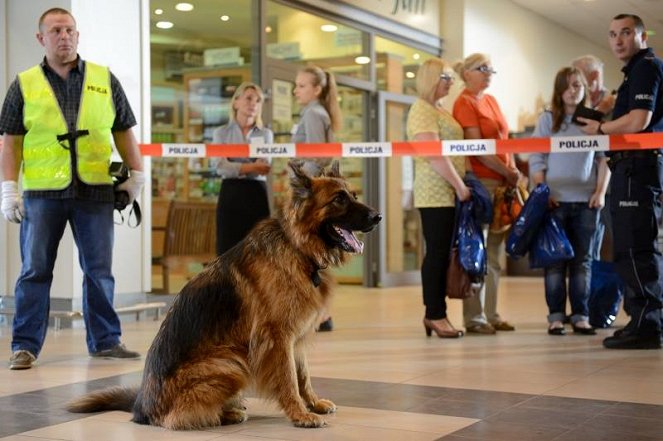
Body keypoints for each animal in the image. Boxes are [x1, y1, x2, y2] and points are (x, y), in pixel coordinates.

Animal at [67, 160, 382, 428]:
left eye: (354, 195)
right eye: (339, 199)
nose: (378, 216)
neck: (298, 248)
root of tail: (141, 409)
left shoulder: (296, 338)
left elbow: (303, 375)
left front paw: (312, 404)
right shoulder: (278, 337)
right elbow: (289, 378)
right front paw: (299, 414)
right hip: (231, 362)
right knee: (177, 418)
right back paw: (226, 413)